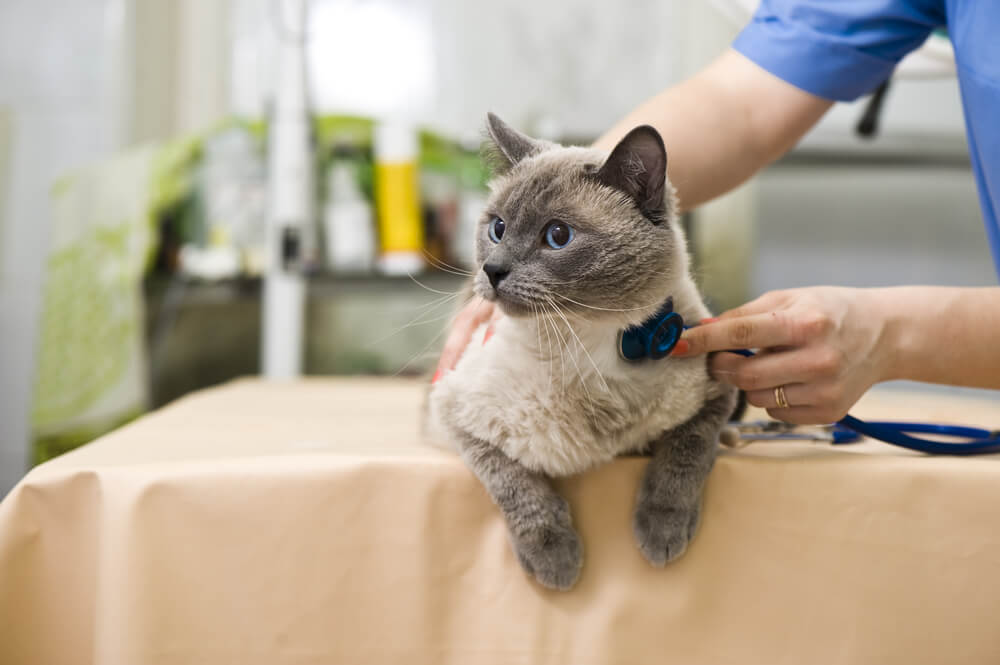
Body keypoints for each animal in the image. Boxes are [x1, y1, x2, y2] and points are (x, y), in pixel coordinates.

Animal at [422, 114, 736, 592]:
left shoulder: (716, 391)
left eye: (557, 236)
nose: (491, 271)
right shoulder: (454, 417)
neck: (585, 344)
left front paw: (661, 532)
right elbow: (517, 486)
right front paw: (557, 562)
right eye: (497, 228)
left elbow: (686, 454)